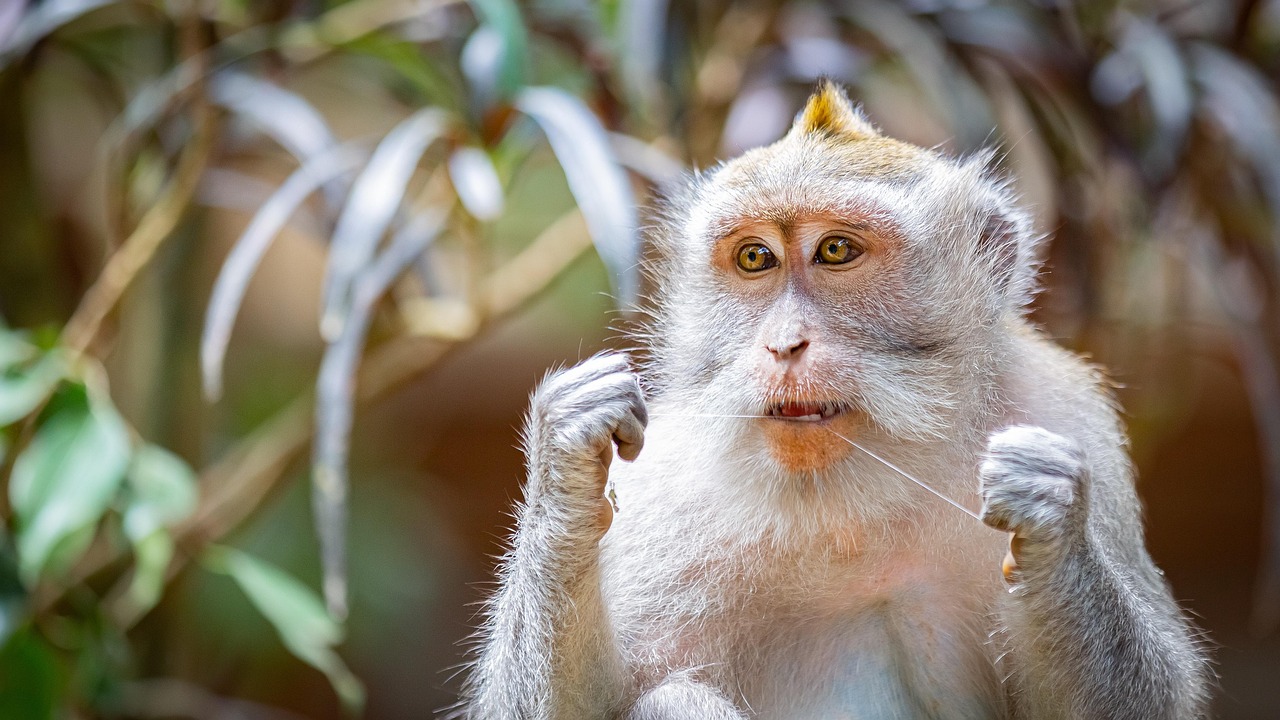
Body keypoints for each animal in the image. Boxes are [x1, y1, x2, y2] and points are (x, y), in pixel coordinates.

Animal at [460, 81, 1211, 719]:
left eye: (837, 250)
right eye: (755, 258)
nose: (783, 344)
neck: (848, 496)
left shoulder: (1067, 414)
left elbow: (1151, 698)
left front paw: (1051, 512)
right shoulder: (663, 480)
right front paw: (566, 457)